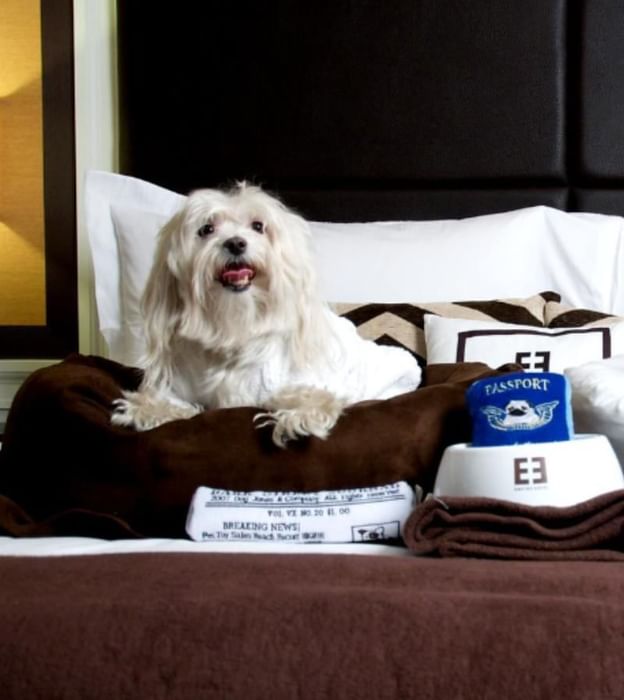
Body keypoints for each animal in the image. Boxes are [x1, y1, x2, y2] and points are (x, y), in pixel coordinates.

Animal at [111, 183, 422, 446]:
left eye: (258, 226)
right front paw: (145, 410)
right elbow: (170, 403)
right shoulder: (181, 383)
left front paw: (299, 417)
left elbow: (314, 397)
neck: (235, 327)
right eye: (206, 229)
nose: (235, 243)